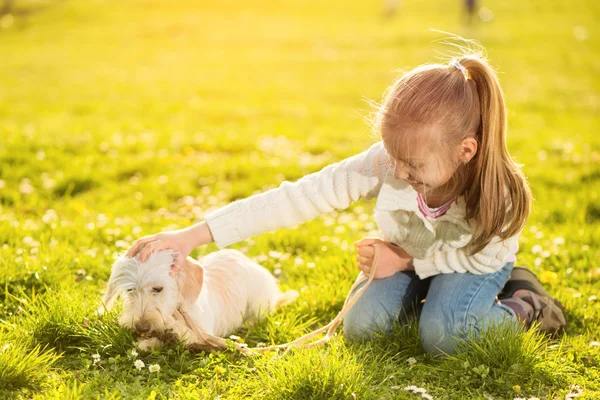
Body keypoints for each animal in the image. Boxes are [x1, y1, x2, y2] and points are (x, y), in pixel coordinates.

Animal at [98, 248, 298, 352]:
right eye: (130, 289)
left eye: (157, 288)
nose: (141, 327)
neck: (176, 309)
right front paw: (148, 341)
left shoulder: (203, 332)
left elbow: (184, 333)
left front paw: (169, 330)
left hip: (258, 303)